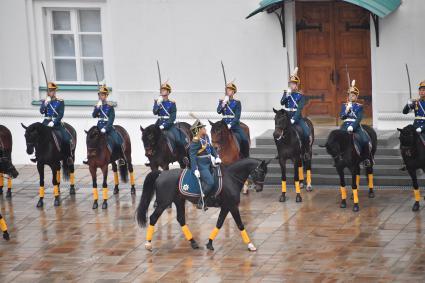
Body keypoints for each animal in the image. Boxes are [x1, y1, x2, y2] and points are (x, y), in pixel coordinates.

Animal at [136, 159, 268, 252]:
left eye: (265, 173)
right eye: (260, 172)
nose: (259, 189)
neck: (231, 178)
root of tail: (161, 174)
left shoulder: (226, 207)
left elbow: (219, 223)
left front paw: (209, 243)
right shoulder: (232, 206)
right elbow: (240, 224)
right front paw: (250, 245)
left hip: (179, 201)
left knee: (181, 219)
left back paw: (193, 242)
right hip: (163, 203)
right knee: (153, 218)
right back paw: (148, 244)